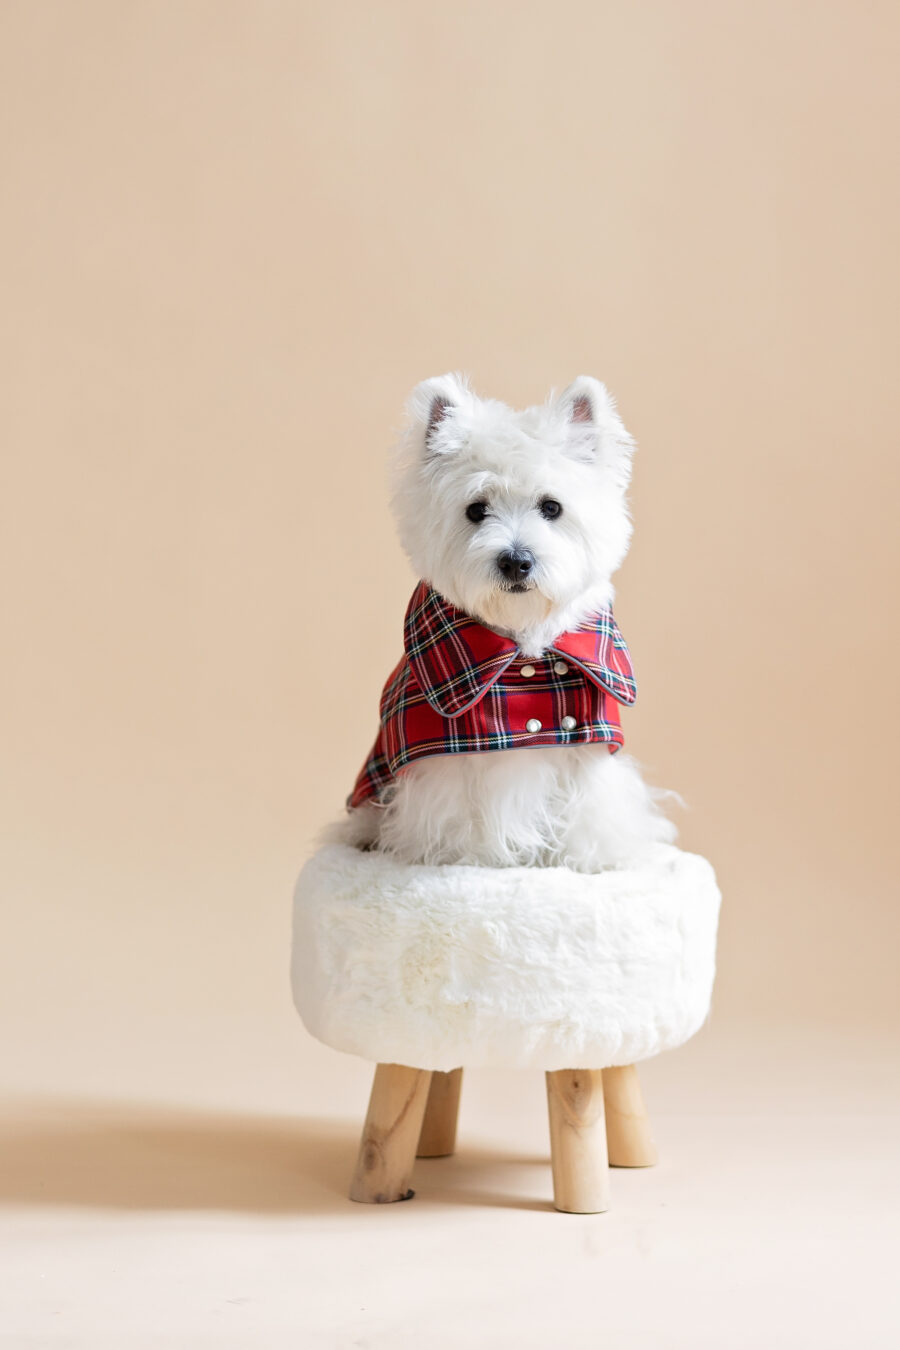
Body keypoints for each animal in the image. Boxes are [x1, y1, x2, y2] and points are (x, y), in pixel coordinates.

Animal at [330, 375, 674, 869]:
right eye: (476, 510)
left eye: (552, 507)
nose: (516, 561)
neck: (522, 649)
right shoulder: (443, 764)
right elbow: (464, 819)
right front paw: (474, 858)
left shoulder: (589, 748)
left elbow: (592, 809)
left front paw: (594, 858)